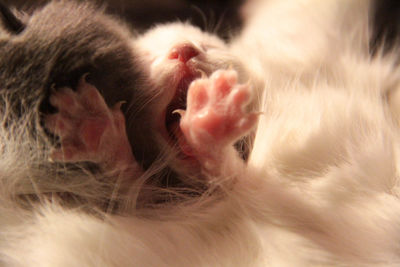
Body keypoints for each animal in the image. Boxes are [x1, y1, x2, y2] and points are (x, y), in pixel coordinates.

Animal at [0, 0, 400, 266]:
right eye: (150, 58)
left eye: (207, 48)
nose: (184, 51)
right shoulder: (146, 206)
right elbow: (130, 185)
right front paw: (94, 131)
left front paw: (211, 119)